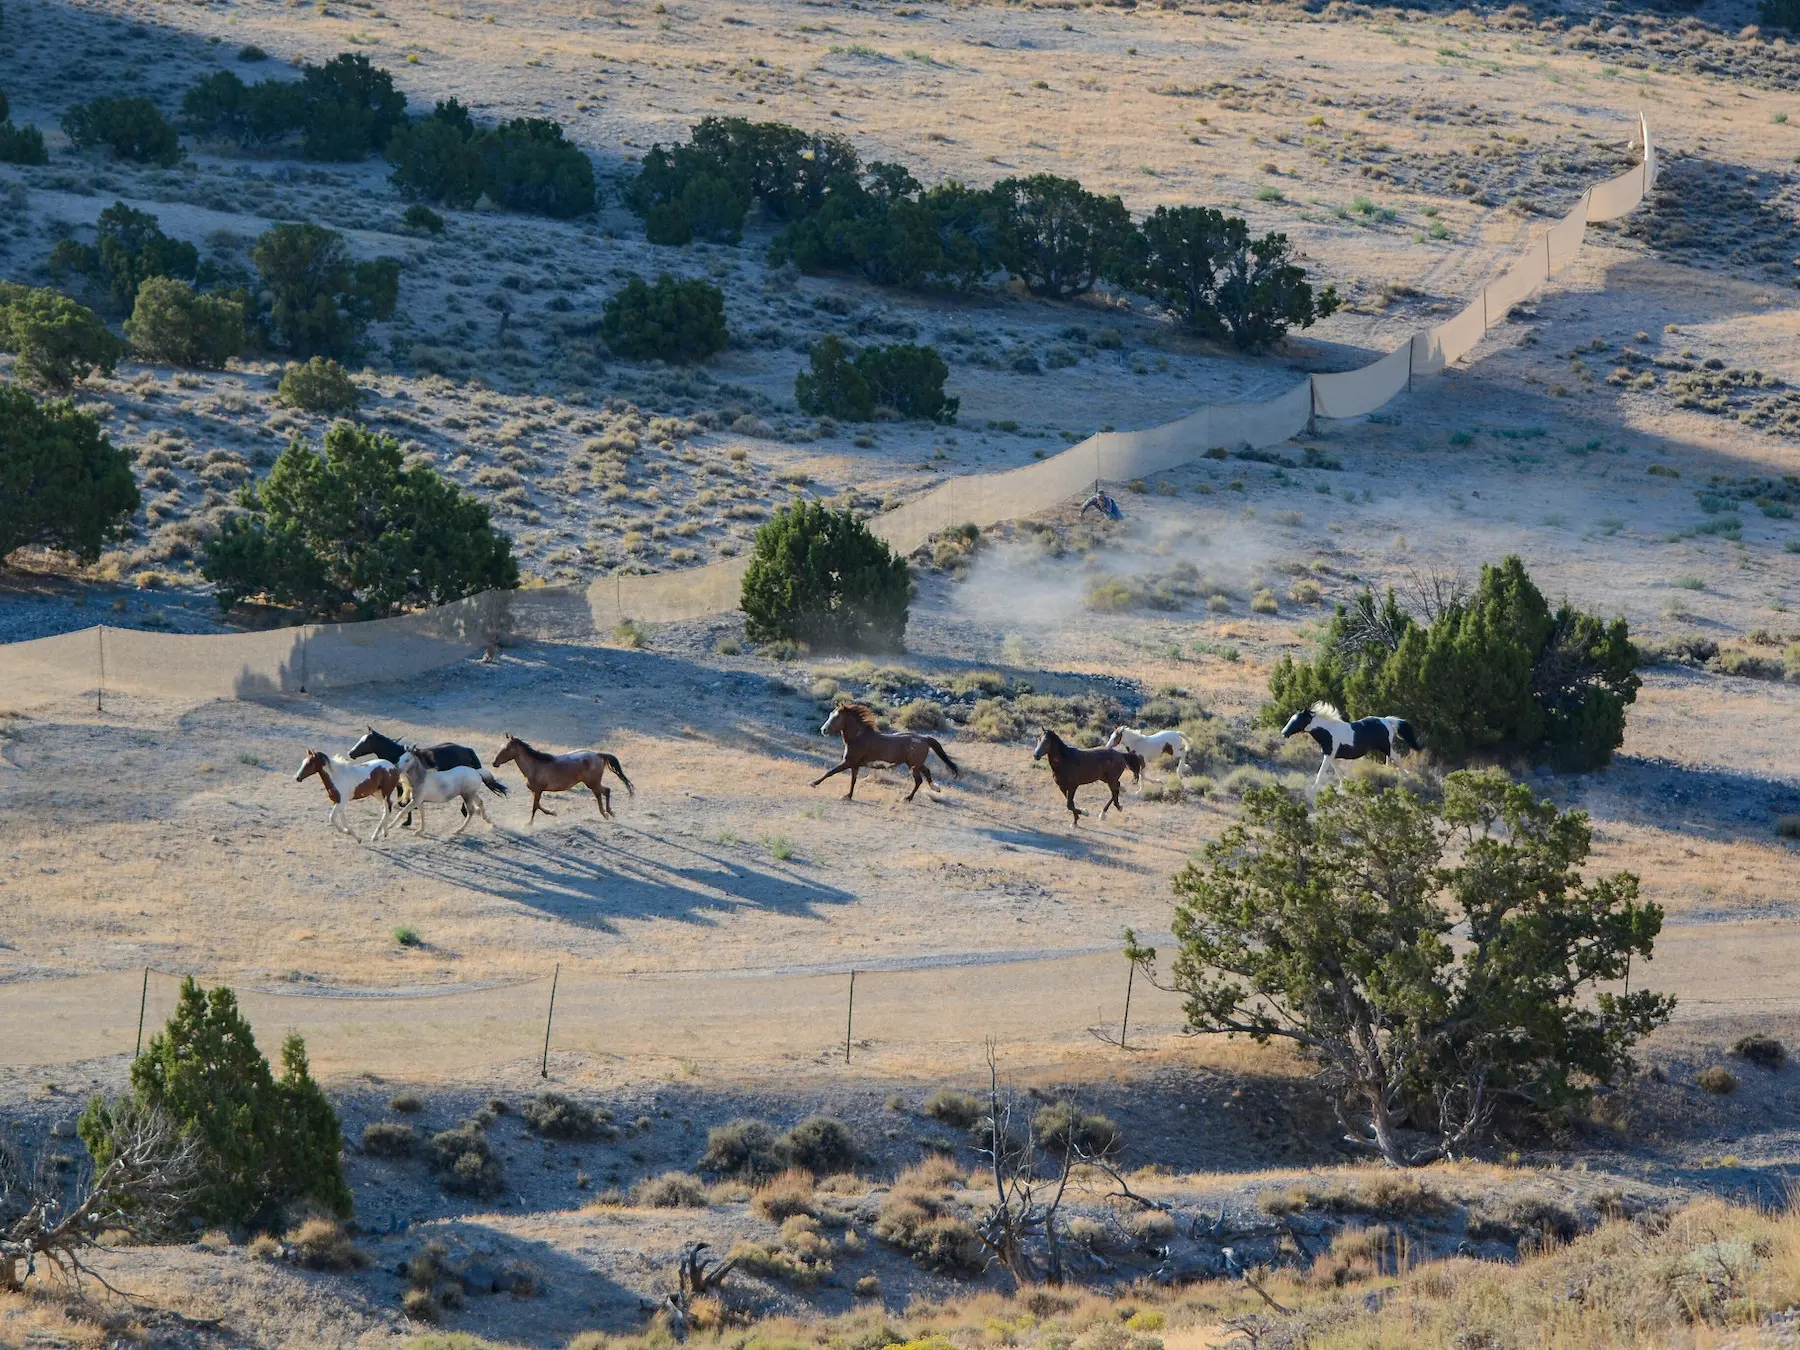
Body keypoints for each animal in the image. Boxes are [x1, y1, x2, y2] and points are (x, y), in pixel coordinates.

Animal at [493, 734, 633, 831]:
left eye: (506, 748)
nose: (494, 763)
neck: (535, 766)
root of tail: (598, 755)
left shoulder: (538, 790)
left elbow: (535, 807)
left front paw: (529, 823)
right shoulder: (535, 791)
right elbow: (538, 805)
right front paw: (552, 812)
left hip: (592, 783)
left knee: (606, 791)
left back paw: (610, 813)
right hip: (593, 783)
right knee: (600, 794)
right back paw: (605, 814)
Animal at [813, 702, 957, 799]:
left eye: (837, 717)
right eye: (830, 714)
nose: (823, 730)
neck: (858, 737)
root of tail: (924, 738)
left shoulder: (848, 762)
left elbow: (830, 772)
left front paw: (813, 783)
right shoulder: (855, 765)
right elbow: (853, 780)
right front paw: (848, 796)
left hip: (913, 766)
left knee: (919, 780)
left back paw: (907, 798)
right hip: (916, 764)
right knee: (926, 772)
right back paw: (936, 788)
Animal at [1281, 702, 1418, 799]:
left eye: (1297, 720)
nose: (1284, 733)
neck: (1328, 731)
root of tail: (1386, 720)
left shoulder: (1329, 755)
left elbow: (1321, 772)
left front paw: (1312, 790)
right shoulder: (1330, 756)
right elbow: (1338, 771)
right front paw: (1344, 785)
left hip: (1386, 746)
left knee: (1397, 757)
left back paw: (1406, 776)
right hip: (1386, 747)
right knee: (1390, 759)